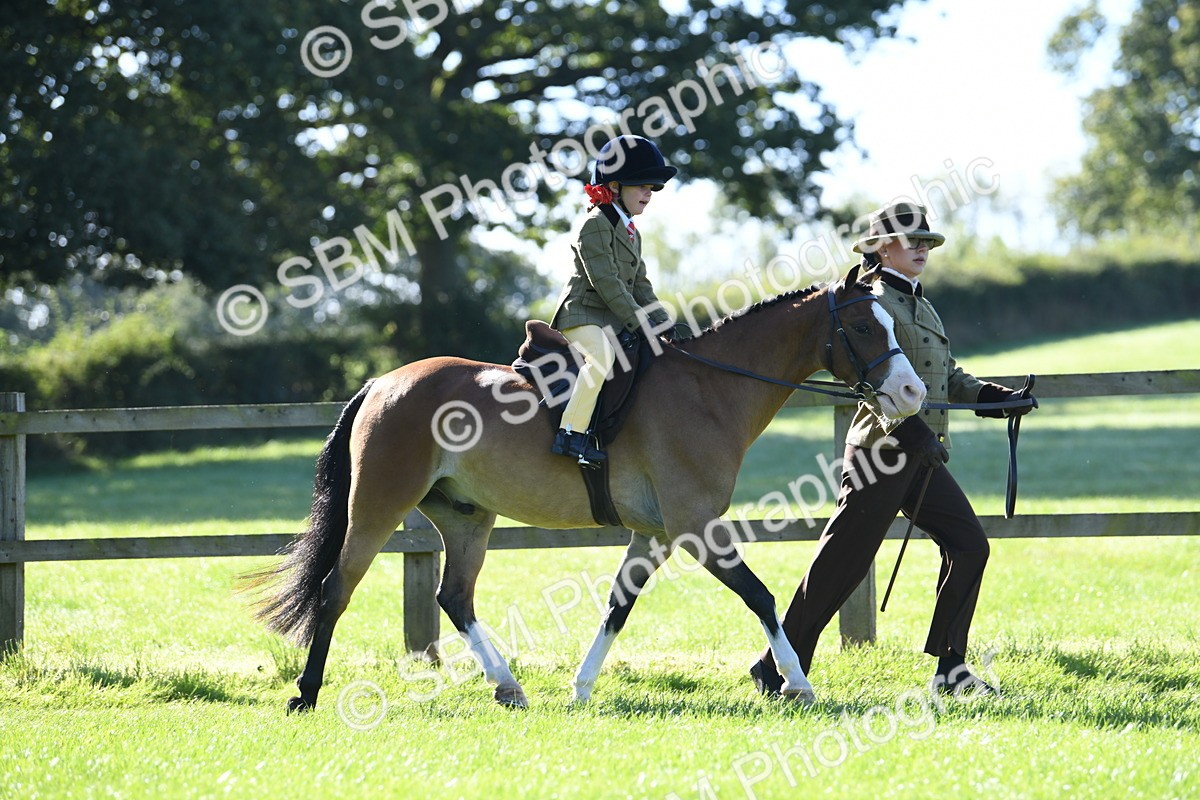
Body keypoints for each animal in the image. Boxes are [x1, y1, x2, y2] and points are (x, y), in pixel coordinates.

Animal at [243, 263, 926, 712]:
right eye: (867, 328)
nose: (914, 393)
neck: (709, 389)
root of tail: (383, 382)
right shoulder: (695, 527)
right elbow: (760, 595)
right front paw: (796, 683)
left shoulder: (655, 535)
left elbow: (618, 607)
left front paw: (580, 687)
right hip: (378, 506)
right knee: (336, 589)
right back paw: (305, 694)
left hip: (466, 517)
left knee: (454, 598)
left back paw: (509, 687)